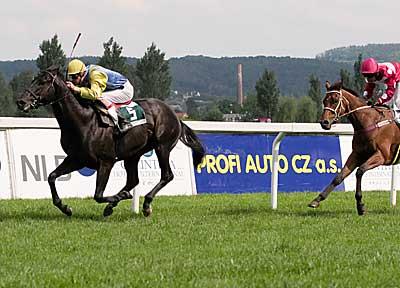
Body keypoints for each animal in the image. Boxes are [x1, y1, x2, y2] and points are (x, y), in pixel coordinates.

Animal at [16, 66, 205, 217]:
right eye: (33, 80)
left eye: (43, 82)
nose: (21, 101)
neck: (83, 120)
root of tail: (174, 114)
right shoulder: (77, 159)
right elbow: (52, 177)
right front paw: (65, 207)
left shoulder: (106, 161)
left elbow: (98, 195)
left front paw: (121, 197)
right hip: (133, 154)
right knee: (133, 180)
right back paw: (115, 204)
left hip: (162, 147)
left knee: (166, 175)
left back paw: (145, 204)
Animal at [308, 80, 400, 214]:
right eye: (324, 100)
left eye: (335, 100)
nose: (324, 123)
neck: (369, 122)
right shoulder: (356, 154)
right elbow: (339, 176)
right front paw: (317, 200)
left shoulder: (381, 156)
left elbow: (359, 171)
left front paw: (360, 205)